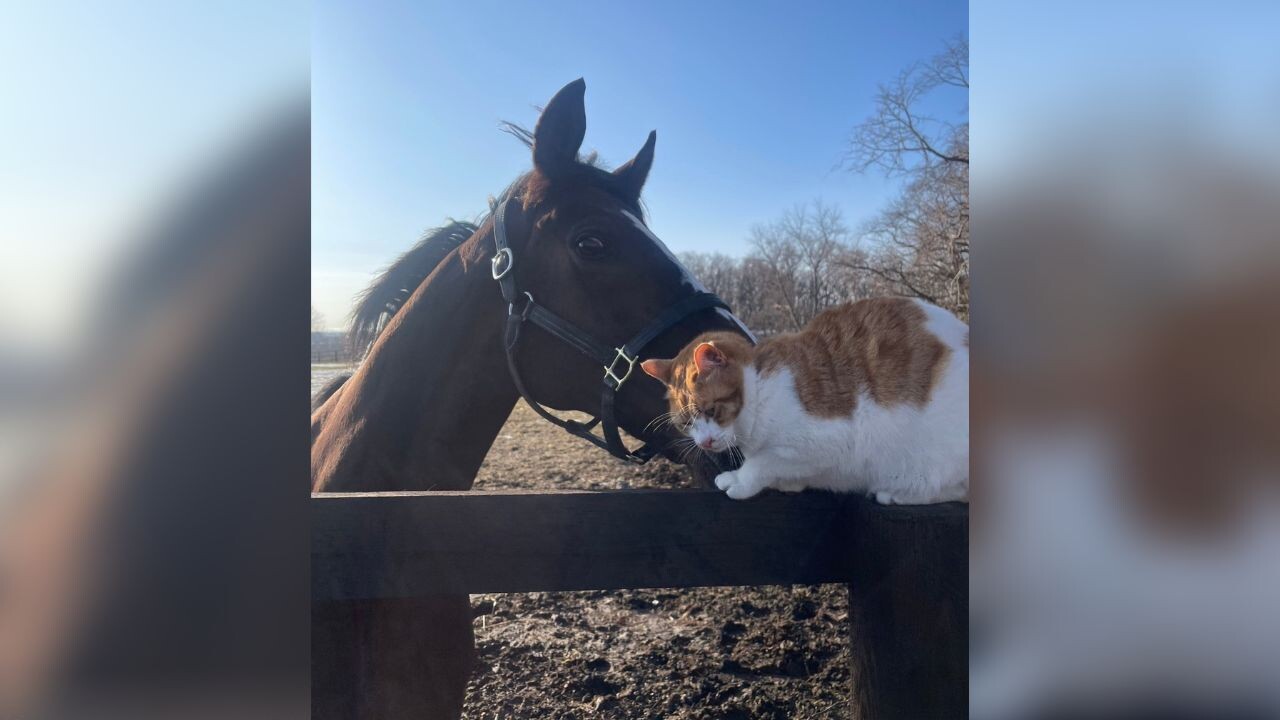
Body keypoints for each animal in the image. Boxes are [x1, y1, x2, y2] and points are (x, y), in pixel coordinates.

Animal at [640, 294, 967, 502]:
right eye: (687, 423)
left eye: (711, 410)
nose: (705, 442)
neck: (759, 390)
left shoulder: (828, 441)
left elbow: (764, 462)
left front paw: (741, 479)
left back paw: (898, 492)